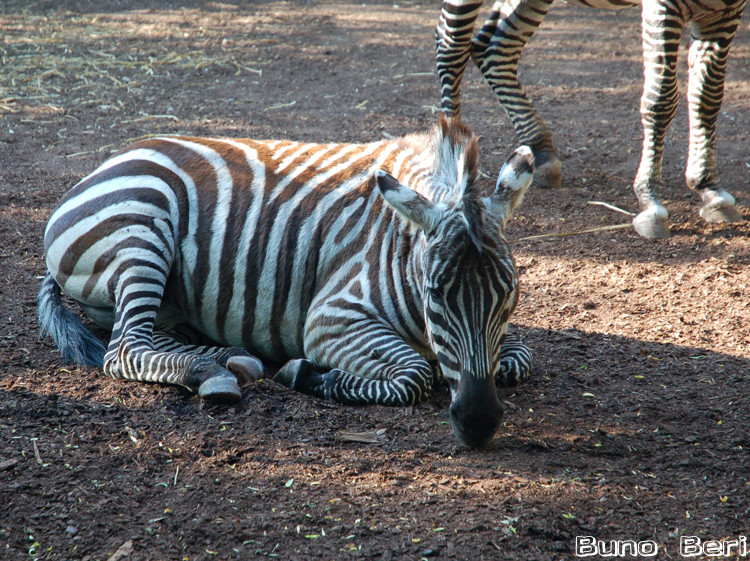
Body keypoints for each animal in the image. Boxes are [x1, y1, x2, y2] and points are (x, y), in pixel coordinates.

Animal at [39, 117, 536, 446]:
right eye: (435, 294)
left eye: (510, 295)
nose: (479, 423)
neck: (399, 240)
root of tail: (116, 158)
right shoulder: (331, 319)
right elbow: (414, 374)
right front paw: (307, 373)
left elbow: (518, 359)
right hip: (142, 232)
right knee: (125, 348)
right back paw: (208, 372)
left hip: (164, 296)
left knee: (152, 337)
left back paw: (230, 358)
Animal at [438, 0, 748, 236]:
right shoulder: (662, 6)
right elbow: (661, 98)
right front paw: (650, 201)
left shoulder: (726, 12)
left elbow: (707, 95)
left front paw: (709, 187)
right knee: (450, 44)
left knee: (494, 48)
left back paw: (540, 149)